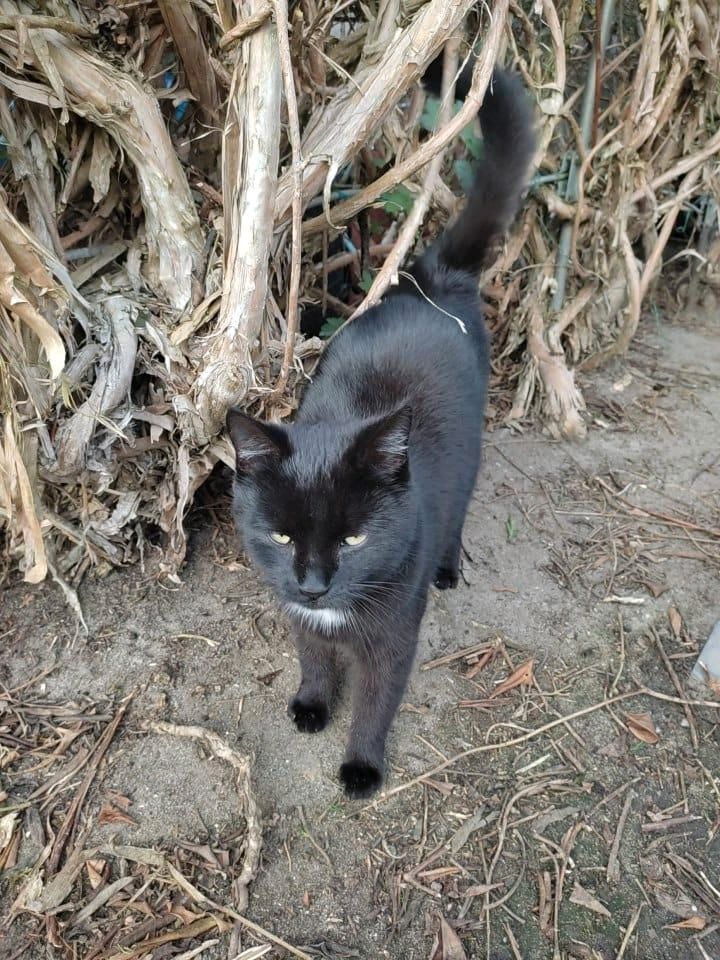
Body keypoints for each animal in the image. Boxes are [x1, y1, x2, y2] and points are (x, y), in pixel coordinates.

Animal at [226, 56, 536, 800]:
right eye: (281, 536)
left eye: (355, 538)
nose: (312, 586)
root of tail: (431, 275)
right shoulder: (300, 618)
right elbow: (313, 656)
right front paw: (312, 704)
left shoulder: (395, 637)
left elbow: (377, 699)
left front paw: (361, 766)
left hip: (469, 456)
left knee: (459, 508)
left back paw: (450, 566)